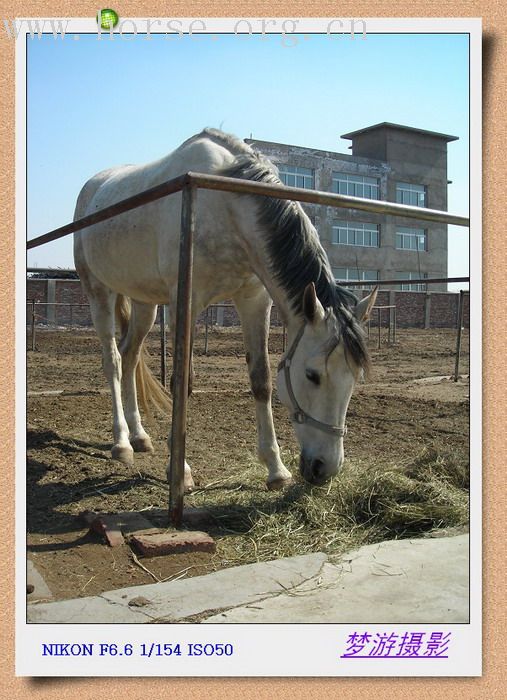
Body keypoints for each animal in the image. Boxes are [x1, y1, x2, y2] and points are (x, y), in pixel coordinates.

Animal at [74, 133, 378, 492]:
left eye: (356, 376)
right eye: (312, 375)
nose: (324, 468)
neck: (226, 203)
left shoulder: (254, 300)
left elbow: (261, 381)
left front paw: (276, 470)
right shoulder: (184, 304)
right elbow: (182, 383)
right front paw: (179, 470)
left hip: (144, 303)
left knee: (130, 356)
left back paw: (139, 436)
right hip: (98, 292)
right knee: (113, 361)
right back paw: (121, 442)